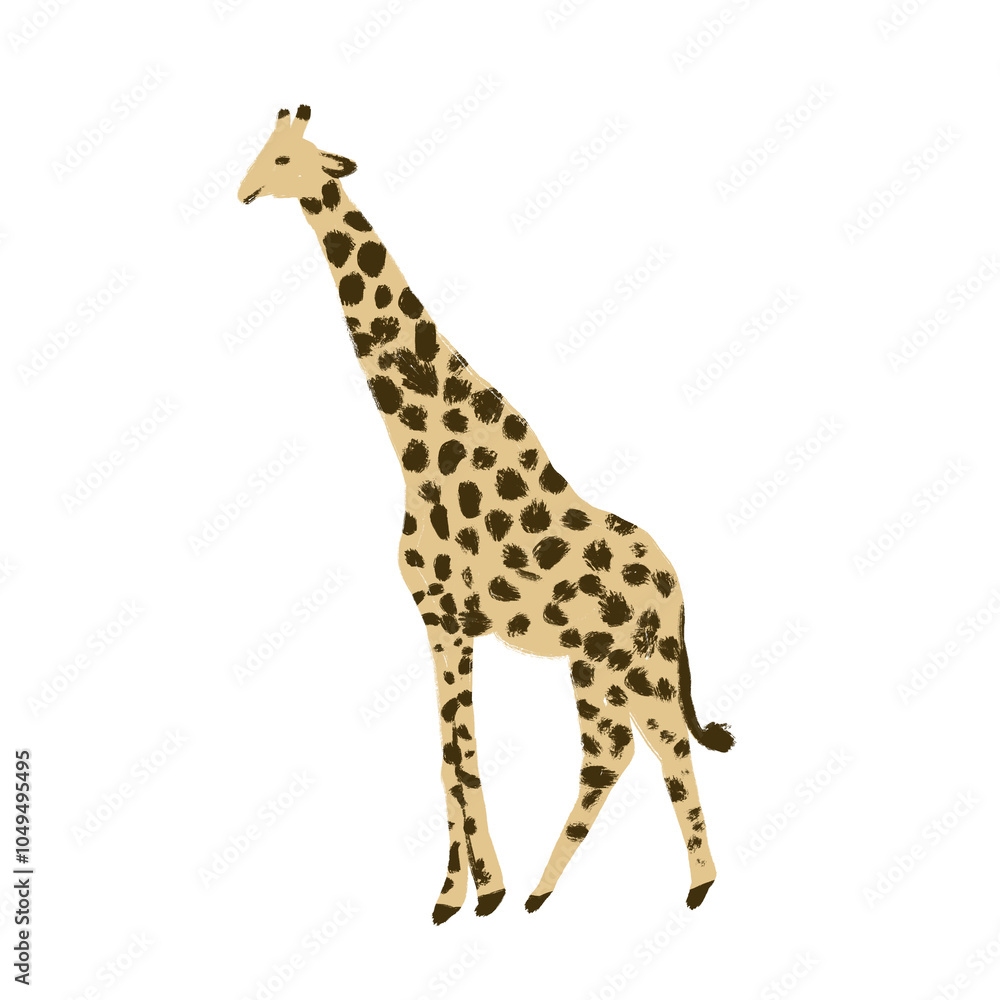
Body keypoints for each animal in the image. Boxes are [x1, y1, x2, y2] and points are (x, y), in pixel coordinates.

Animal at [237, 106, 734, 924]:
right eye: (262, 149)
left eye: (284, 157)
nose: (243, 191)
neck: (418, 445)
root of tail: (677, 587)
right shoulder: (444, 622)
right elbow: (452, 757)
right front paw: (471, 892)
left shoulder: (443, 616)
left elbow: (456, 760)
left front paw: (468, 894)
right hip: (610, 665)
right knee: (631, 751)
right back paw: (566, 889)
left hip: (632, 662)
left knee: (652, 748)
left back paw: (667, 888)